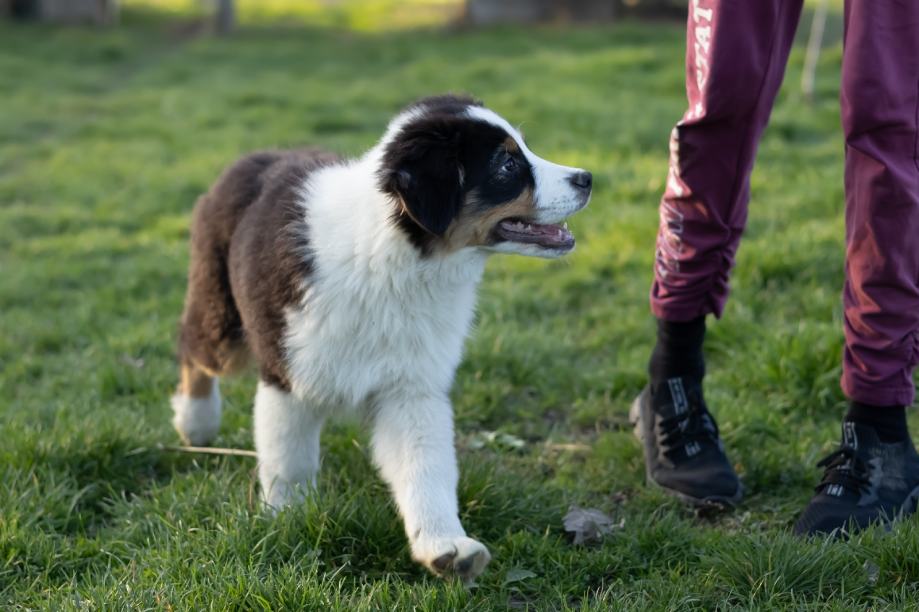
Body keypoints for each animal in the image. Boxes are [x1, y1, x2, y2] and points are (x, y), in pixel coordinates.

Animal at [169, 94, 592, 580]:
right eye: (507, 164)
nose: (588, 178)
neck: (397, 259)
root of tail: (252, 157)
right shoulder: (287, 373)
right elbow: (289, 460)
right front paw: (288, 521)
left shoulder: (412, 387)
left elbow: (425, 467)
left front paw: (446, 547)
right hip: (221, 318)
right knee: (193, 349)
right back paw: (196, 422)